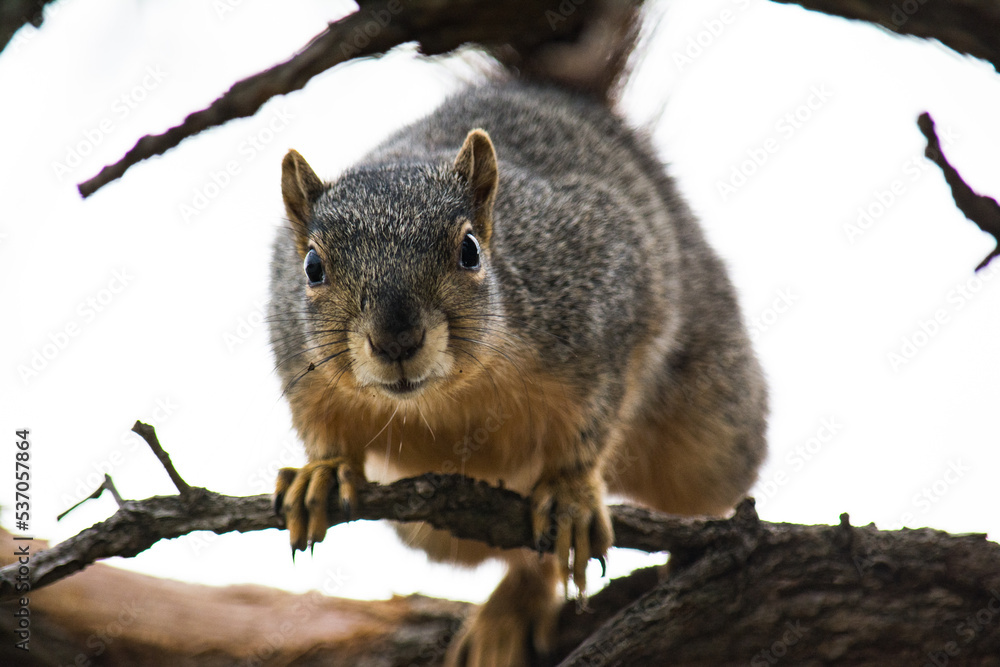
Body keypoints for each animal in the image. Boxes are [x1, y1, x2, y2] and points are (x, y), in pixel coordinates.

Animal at [269, 80, 768, 667]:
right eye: (312, 268)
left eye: (470, 250)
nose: (397, 341)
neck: (444, 398)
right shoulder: (300, 365)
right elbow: (321, 426)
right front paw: (322, 472)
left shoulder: (607, 301)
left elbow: (594, 417)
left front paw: (572, 492)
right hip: (434, 532)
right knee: (519, 553)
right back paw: (507, 617)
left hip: (711, 434)